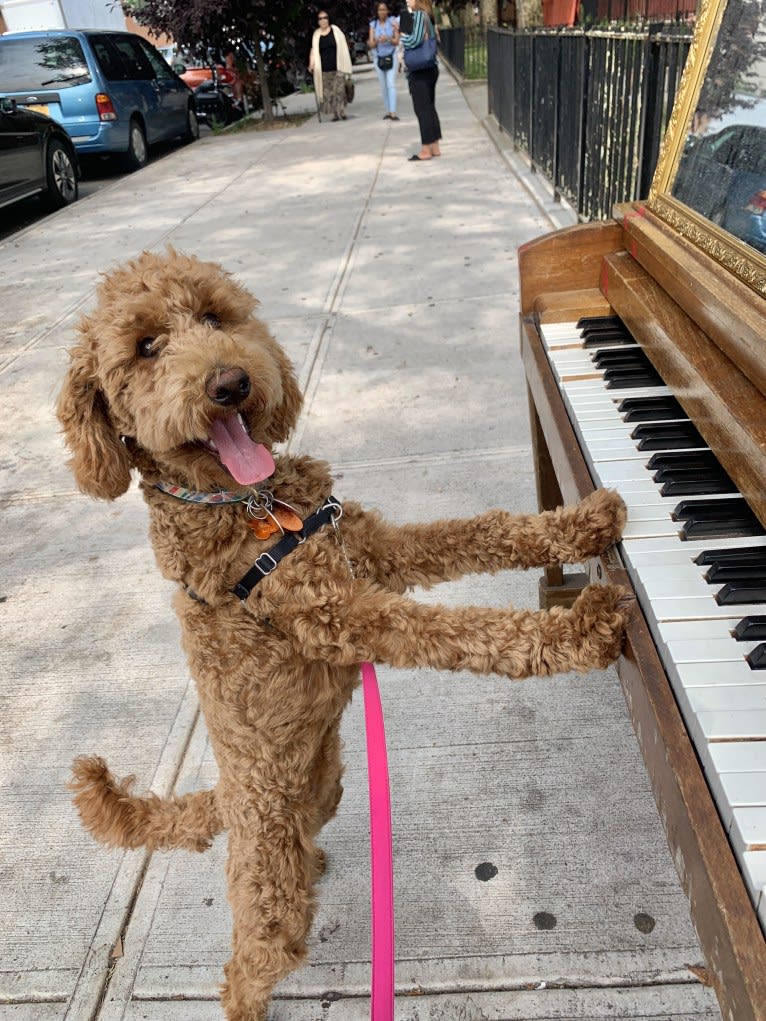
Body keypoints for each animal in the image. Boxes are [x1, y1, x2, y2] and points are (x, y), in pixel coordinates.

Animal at [56, 247, 633, 1021]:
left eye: (215, 316)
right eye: (145, 346)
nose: (230, 382)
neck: (251, 502)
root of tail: (228, 796)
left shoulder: (372, 549)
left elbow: (475, 531)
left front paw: (580, 524)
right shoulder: (341, 614)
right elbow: (461, 629)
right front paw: (581, 629)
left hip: (324, 783)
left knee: (308, 829)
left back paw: (317, 857)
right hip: (270, 883)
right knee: (251, 959)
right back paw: (247, 998)